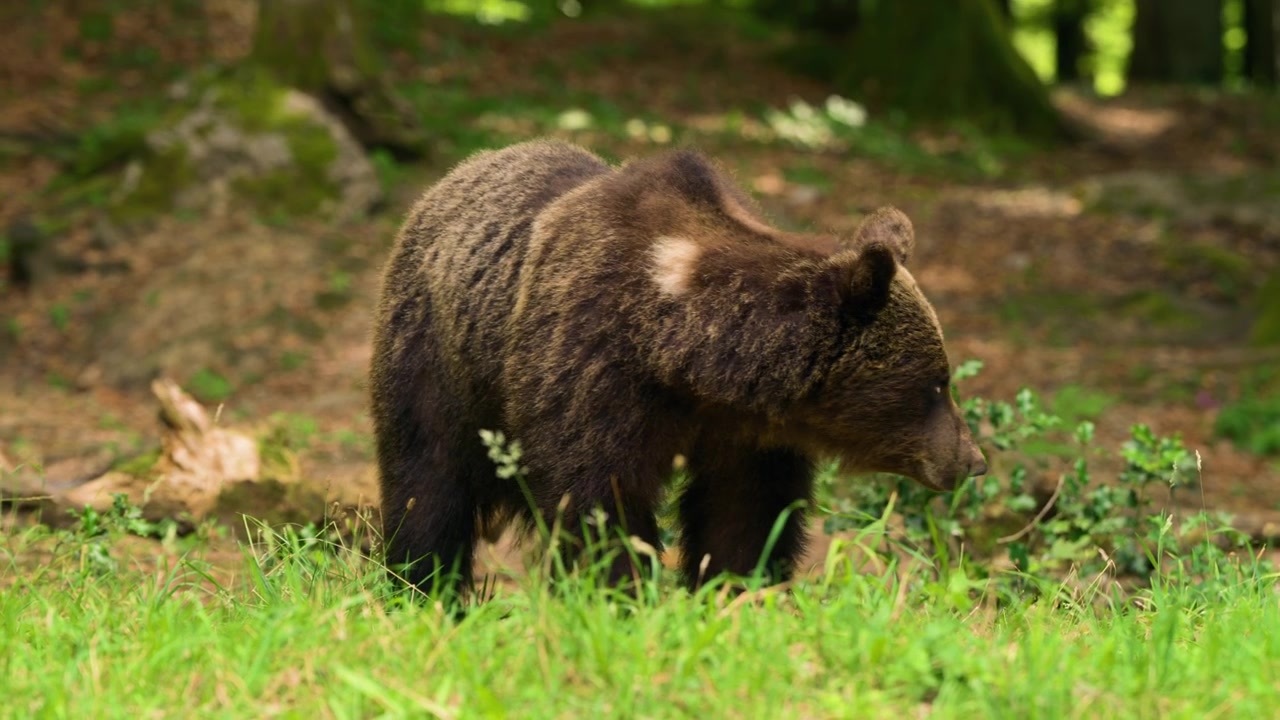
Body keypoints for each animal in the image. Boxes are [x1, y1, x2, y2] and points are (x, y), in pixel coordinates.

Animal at [369, 138, 987, 597]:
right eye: (936, 383)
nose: (972, 460)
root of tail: (454, 177)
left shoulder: (747, 435)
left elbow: (745, 515)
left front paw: (737, 590)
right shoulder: (589, 371)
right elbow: (599, 505)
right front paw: (620, 594)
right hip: (439, 361)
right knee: (428, 482)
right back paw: (424, 587)